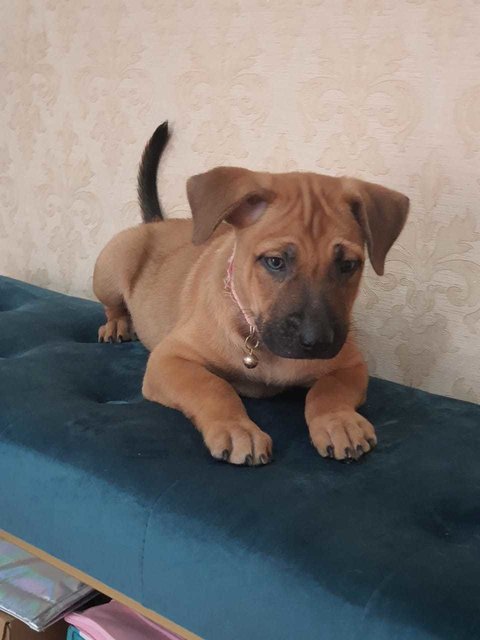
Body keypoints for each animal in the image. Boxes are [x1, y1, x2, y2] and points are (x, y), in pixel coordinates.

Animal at [94, 122, 408, 468]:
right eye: (275, 262)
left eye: (347, 265)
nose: (318, 342)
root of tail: (157, 222)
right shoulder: (169, 358)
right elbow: (213, 386)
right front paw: (237, 428)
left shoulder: (351, 364)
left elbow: (328, 389)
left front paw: (338, 420)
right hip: (113, 263)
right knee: (113, 304)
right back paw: (117, 324)